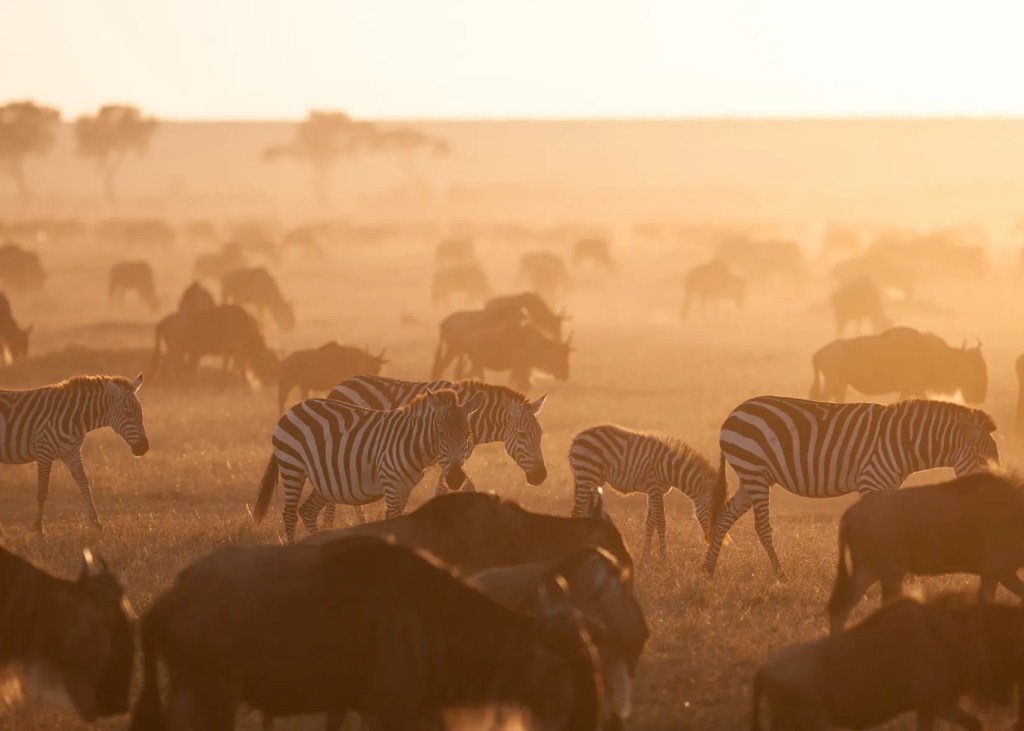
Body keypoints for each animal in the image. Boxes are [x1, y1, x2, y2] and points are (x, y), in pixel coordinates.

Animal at [0, 373, 149, 533]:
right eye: (128, 414)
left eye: (141, 413)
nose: (145, 447)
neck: (73, 419)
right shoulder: (44, 451)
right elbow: (43, 490)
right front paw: (38, 528)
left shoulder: (72, 454)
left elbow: (85, 484)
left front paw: (96, 523)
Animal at [251, 388, 484, 543]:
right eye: (441, 434)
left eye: (468, 434)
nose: (456, 478)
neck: (412, 443)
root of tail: (293, 408)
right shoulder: (391, 482)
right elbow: (394, 520)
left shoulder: (405, 488)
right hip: (292, 468)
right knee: (290, 515)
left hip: (323, 482)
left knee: (307, 511)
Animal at [325, 375, 547, 525]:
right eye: (523, 436)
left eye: (541, 434)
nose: (541, 477)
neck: (473, 418)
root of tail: (340, 384)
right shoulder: (445, 456)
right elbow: (467, 488)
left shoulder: (454, 459)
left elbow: (444, 489)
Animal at [569, 424, 723, 561]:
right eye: (713, 514)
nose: (714, 541)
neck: (670, 468)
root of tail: (577, 438)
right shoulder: (656, 488)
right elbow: (661, 522)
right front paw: (664, 560)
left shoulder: (652, 491)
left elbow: (650, 523)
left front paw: (646, 558)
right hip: (587, 474)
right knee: (577, 512)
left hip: (593, 480)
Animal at [703, 396, 999, 579]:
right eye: (984, 460)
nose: (995, 497)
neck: (905, 443)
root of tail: (734, 412)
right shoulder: (871, 481)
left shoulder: (889, 484)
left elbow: (894, 526)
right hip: (754, 472)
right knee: (761, 526)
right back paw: (780, 575)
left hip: (753, 477)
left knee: (724, 516)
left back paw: (708, 570)